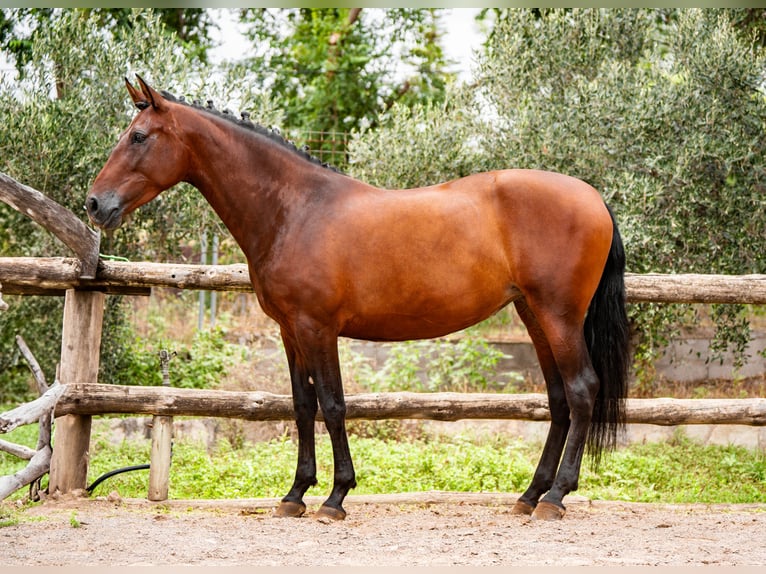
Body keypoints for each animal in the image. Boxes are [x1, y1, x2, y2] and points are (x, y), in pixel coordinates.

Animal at [87, 75, 632, 520]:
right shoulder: (290, 332)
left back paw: (556, 497)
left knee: (581, 389)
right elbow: (302, 405)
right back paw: (529, 495)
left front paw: (335, 496)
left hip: (558, 316)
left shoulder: (318, 328)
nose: (95, 204)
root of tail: (593, 197)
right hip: (533, 315)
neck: (295, 209)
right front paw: (295, 494)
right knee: (559, 399)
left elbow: (332, 404)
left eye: (138, 137)